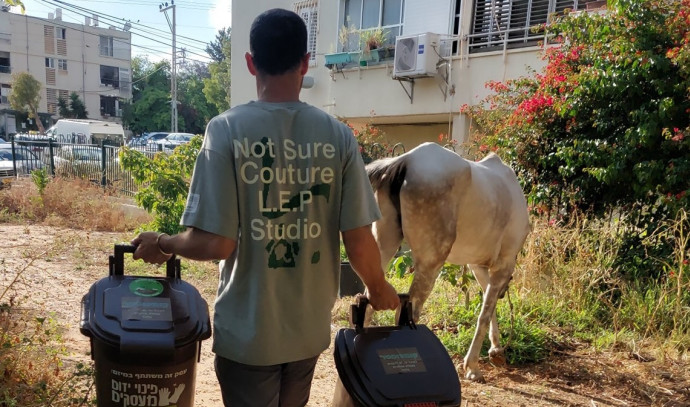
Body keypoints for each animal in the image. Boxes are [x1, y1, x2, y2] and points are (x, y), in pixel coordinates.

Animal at [362, 141, 528, 382]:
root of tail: (405, 160)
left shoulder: (477, 265)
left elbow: (487, 299)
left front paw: (495, 349)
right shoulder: (503, 265)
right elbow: (485, 311)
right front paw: (473, 366)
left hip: (383, 249)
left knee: (366, 306)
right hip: (430, 265)